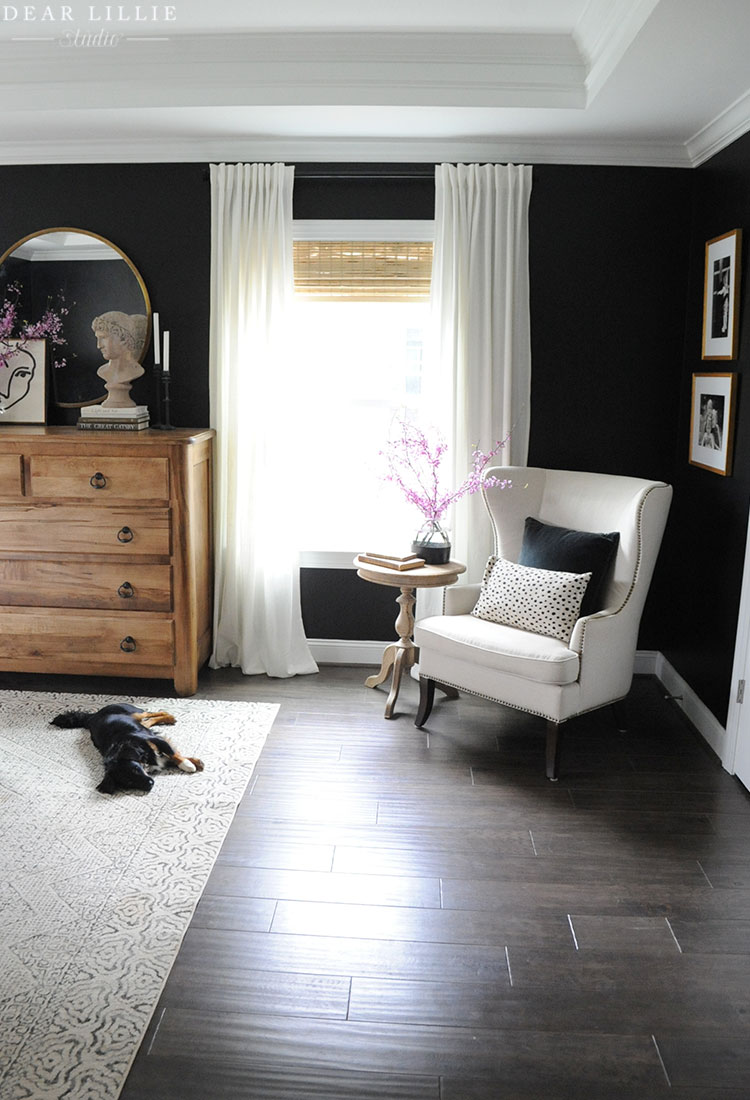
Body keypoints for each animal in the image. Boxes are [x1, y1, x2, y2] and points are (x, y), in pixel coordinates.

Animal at [51, 699, 204, 796]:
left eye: (136, 769)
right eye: (129, 782)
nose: (150, 784)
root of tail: (92, 716)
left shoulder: (154, 739)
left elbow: (173, 753)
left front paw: (188, 764)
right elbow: (168, 756)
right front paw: (194, 762)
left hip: (133, 713)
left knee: (149, 713)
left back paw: (169, 717)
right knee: (148, 720)